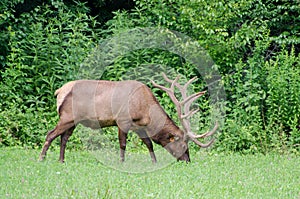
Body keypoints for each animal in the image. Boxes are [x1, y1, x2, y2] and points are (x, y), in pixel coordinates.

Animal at [39, 73, 218, 163]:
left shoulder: (139, 126)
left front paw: (154, 162)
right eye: (183, 145)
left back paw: (61, 161)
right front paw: (122, 162)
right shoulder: (122, 121)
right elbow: (123, 144)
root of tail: (59, 91)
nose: (187, 161)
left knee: (63, 138)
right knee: (50, 134)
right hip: (67, 117)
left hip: (73, 121)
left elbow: (149, 143)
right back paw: (41, 159)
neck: (145, 110)